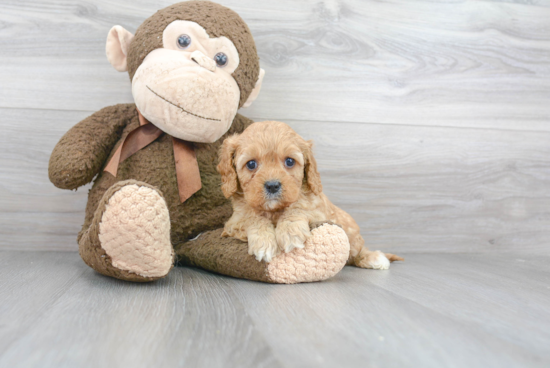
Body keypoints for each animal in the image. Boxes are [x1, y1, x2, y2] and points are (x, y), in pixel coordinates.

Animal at [217, 122, 406, 268]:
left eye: (290, 161)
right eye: (251, 164)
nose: (272, 185)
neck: (274, 211)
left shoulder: (318, 211)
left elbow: (298, 208)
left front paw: (290, 232)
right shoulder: (234, 222)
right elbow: (252, 217)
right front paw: (264, 242)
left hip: (352, 234)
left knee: (357, 252)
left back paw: (375, 258)